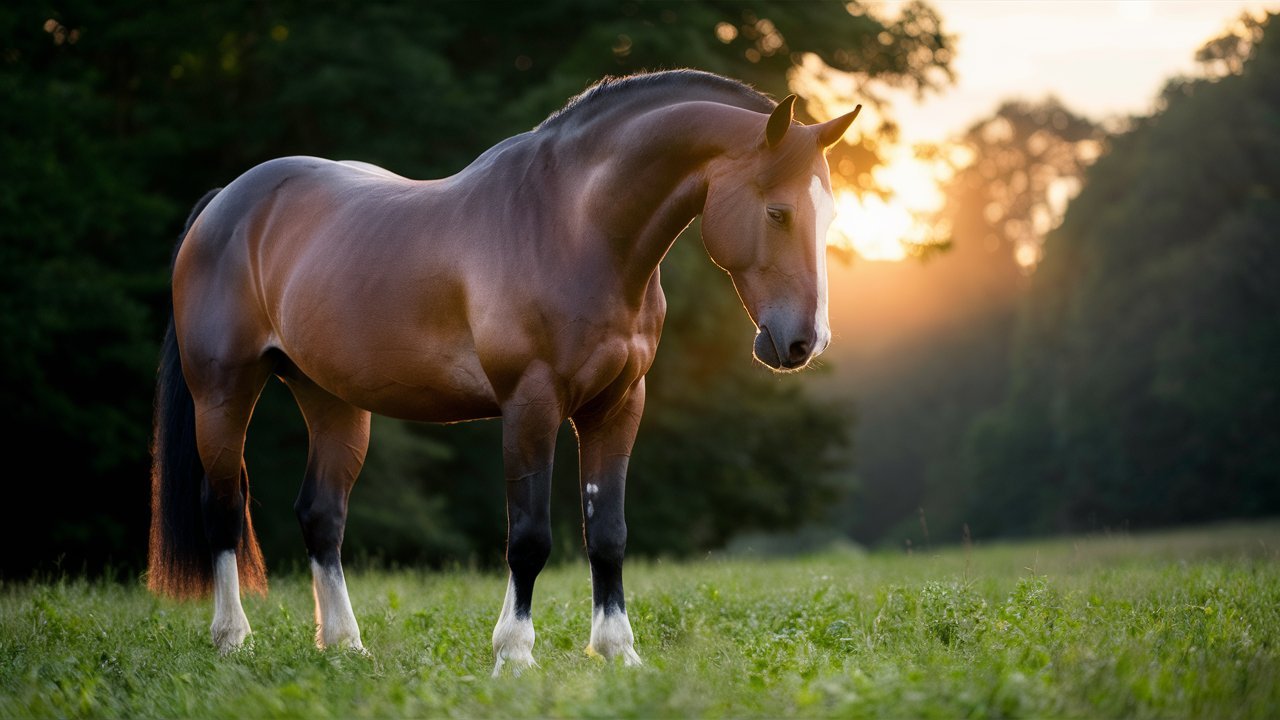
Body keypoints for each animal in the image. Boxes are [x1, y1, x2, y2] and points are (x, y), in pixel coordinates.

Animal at [147, 69, 859, 674]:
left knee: (321, 515)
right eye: (777, 212)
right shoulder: (531, 405)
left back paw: (346, 647)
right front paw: (514, 654)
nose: (804, 342)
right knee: (223, 507)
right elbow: (530, 537)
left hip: (332, 400)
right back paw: (232, 640)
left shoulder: (617, 405)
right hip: (223, 392)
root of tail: (226, 202)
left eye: (828, 214)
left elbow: (608, 533)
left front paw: (618, 653)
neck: (575, 226)